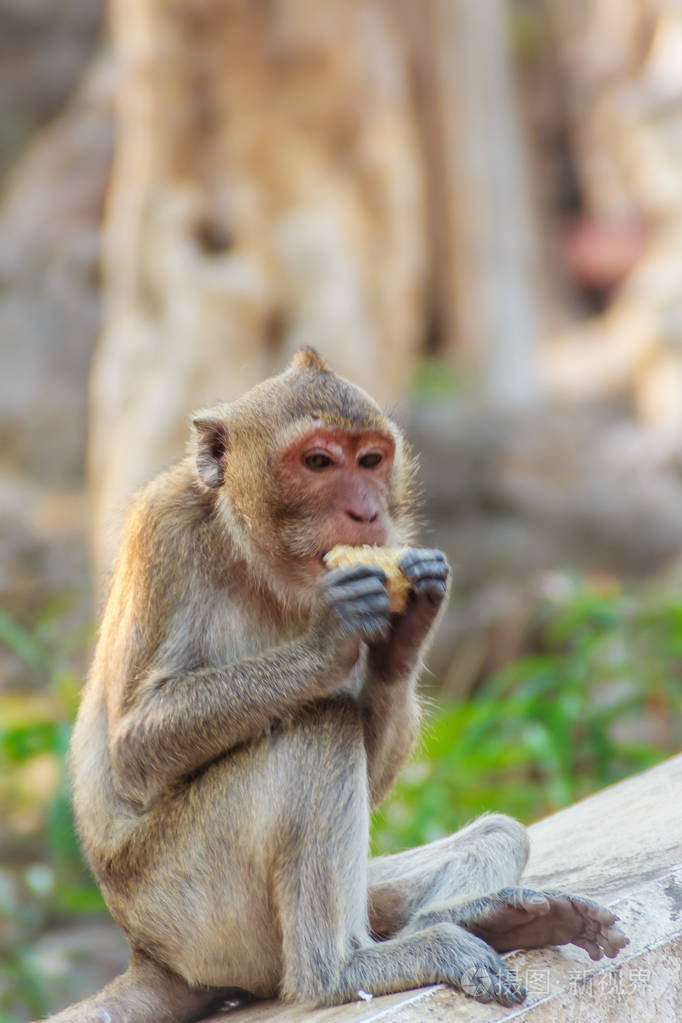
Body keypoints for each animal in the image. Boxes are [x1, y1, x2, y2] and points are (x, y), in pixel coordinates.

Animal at [48, 347, 625, 1018]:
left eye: (371, 461)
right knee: (317, 732)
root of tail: (151, 954)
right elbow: (133, 751)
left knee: (494, 832)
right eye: (318, 462)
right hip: (193, 912)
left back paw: (486, 918)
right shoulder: (164, 534)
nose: (366, 512)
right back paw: (343, 968)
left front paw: (406, 634)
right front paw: (331, 634)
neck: (255, 560)